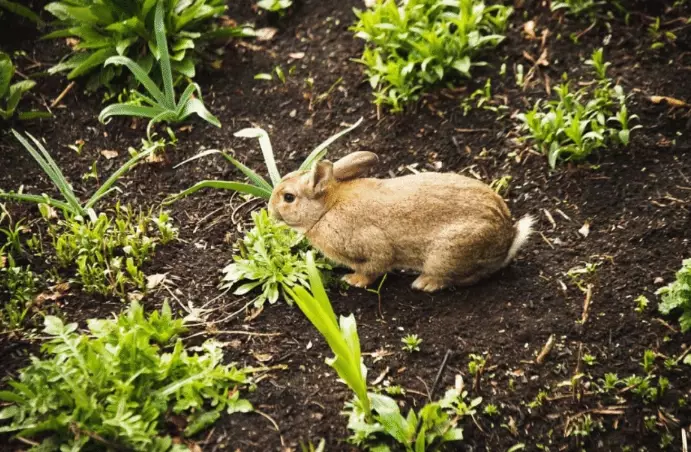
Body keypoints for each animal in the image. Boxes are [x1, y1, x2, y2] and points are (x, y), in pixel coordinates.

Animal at [268, 151, 534, 293]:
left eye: (288, 197)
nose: (270, 210)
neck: (326, 209)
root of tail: (507, 240)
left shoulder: (373, 245)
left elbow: (374, 266)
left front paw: (353, 281)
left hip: (448, 252)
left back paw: (423, 284)